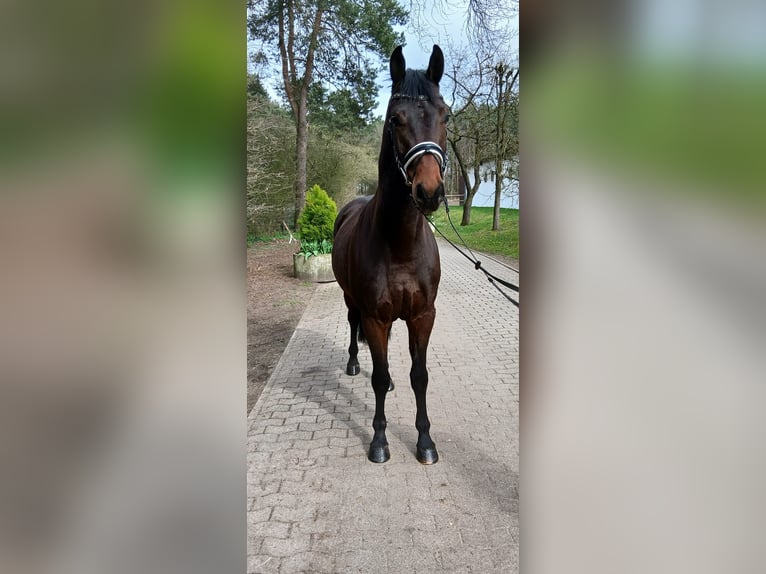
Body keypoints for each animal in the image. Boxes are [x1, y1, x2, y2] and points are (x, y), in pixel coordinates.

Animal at [332, 45, 449, 464]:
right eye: (394, 119)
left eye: (446, 115)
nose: (429, 192)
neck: (399, 245)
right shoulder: (375, 316)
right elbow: (378, 377)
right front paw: (379, 441)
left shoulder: (422, 315)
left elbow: (420, 376)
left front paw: (426, 441)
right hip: (351, 300)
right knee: (354, 329)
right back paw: (353, 364)